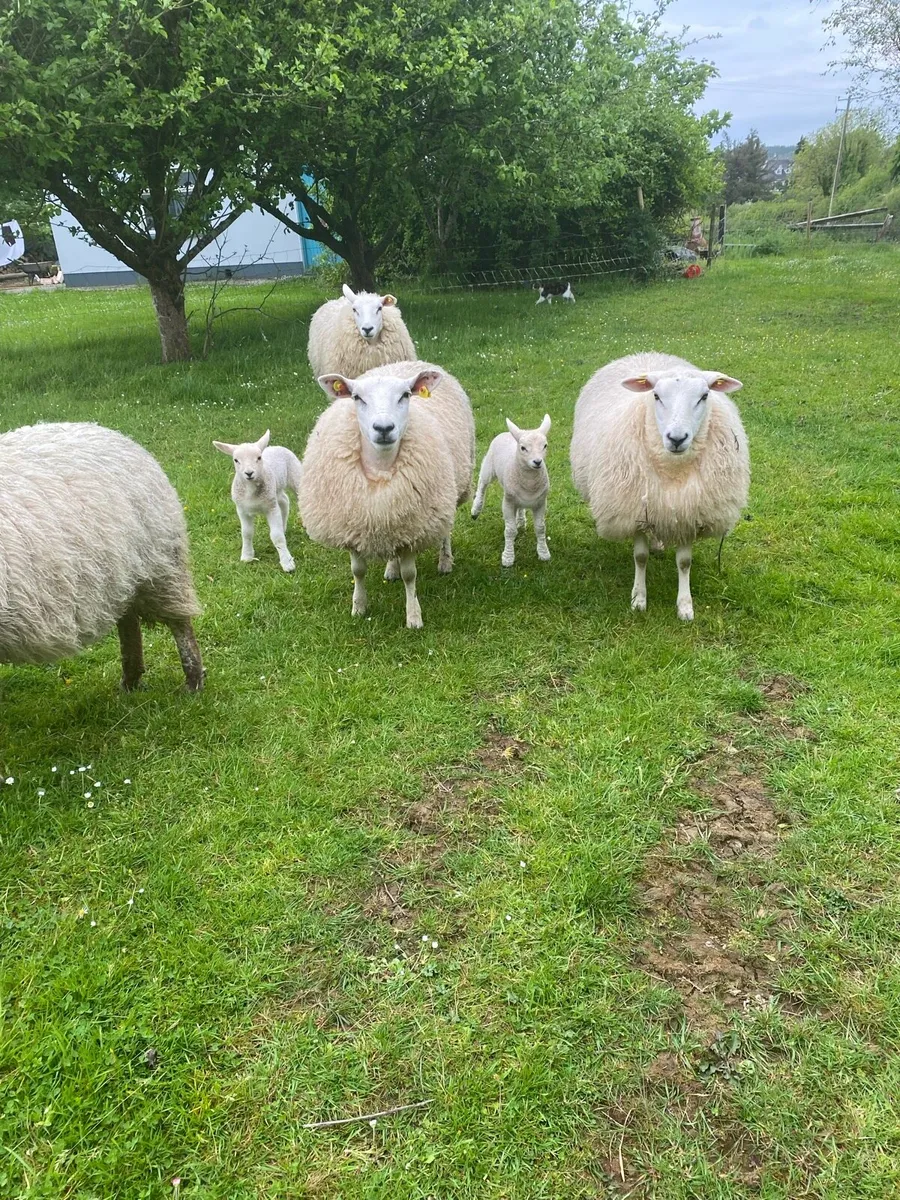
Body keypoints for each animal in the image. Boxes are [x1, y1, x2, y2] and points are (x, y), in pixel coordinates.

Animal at [0, 422, 204, 690]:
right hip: (124, 576)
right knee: (129, 622)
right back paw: (131, 680)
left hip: (162, 567)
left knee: (180, 624)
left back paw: (192, 682)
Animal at [212, 430, 303, 572]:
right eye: (236, 460)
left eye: (259, 458)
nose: (249, 473)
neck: (250, 491)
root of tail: (276, 446)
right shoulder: (242, 510)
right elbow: (246, 533)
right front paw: (247, 556)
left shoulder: (271, 508)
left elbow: (277, 536)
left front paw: (287, 562)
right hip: (275, 489)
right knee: (284, 500)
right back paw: (283, 526)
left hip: (294, 476)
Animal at [299, 359, 475, 628]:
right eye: (357, 397)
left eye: (405, 395)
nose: (383, 428)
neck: (380, 469)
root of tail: (407, 363)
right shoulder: (354, 527)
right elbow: (358, 571)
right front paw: (358, 607)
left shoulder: (413, 527)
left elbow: (410, 575)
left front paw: (413, 616)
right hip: (392, 518)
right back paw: (391, 569)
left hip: (448, 493)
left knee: (445, 530)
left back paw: (445, 562)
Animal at [471, 415, 552, 566]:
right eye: (523, 448)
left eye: (545, 446)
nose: (537, 462)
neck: (529, 483)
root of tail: (507, 433)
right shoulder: (508, 502)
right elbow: (510, 530)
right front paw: (508, 557)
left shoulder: (540, 503)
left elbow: (540, 528)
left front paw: (544, 553)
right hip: (489, 467)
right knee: (482, 484)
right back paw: (476, 509)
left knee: (520, 507)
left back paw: (521, 520)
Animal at [570, 352, 749, 620]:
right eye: (656, 396)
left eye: (704, 396)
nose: (676, 438)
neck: (673, 470)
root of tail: (648, 355)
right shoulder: (634, 511)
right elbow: (640, 557)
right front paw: (638, 599)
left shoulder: (688, 512)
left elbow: (684, 563)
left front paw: (685, 606)